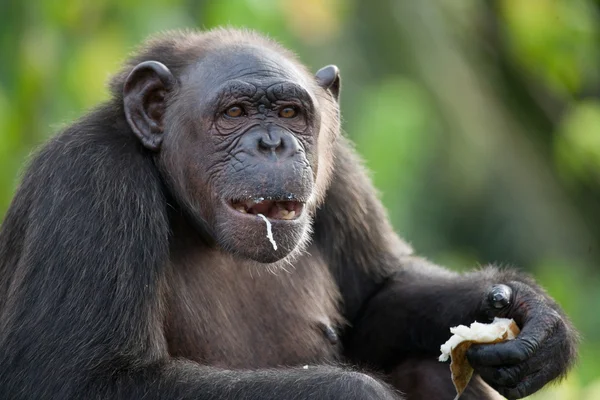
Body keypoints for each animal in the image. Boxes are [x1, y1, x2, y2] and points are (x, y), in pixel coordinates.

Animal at [0, 28, 576, 400]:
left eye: (290, 112)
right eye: (234, 112)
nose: (273, 143)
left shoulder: (341, 174)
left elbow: (376, 297)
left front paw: (533, 315)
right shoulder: (88, 183)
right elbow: (82, 376)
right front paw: (353, 394)